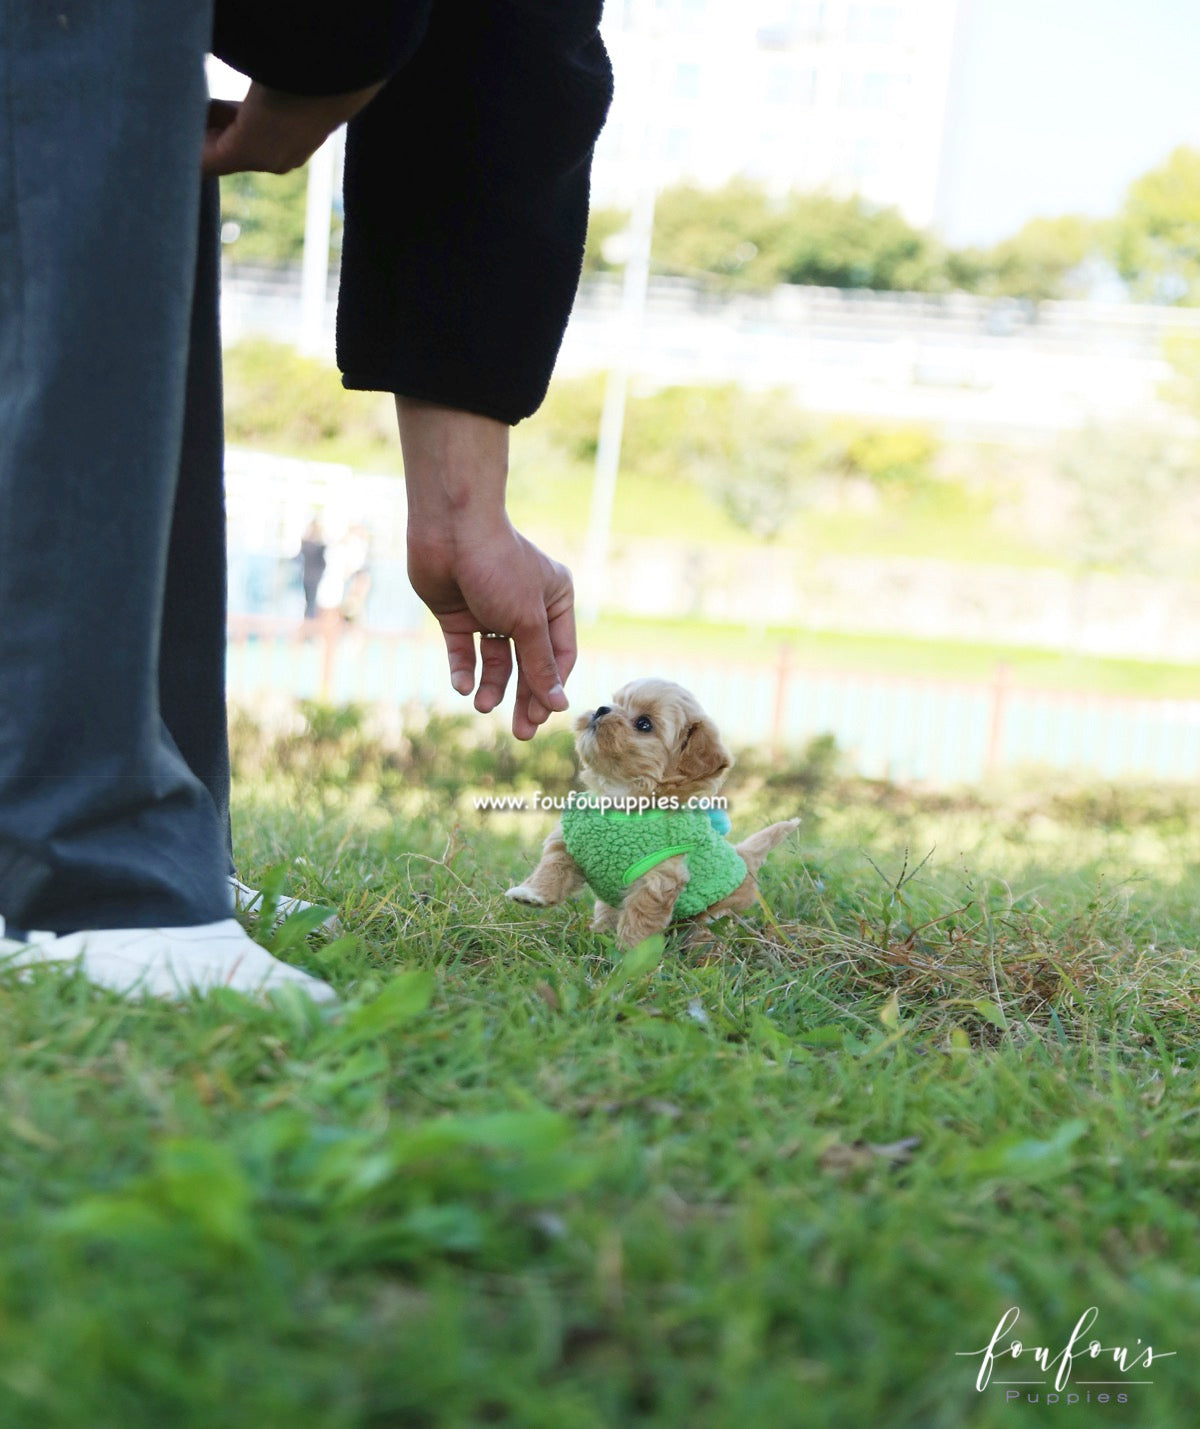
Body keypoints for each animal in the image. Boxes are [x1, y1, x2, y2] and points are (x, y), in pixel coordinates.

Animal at [505, 677, 794, 948]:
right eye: (616, 702)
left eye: (644, 724)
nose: (601, 709)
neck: (620, 799)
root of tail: (744, 857)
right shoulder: (567, 842)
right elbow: (552, 868)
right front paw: (531, 893)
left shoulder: (658, 877)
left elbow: (641, 918)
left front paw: (629, 954)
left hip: (720, 907)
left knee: (709, 923)